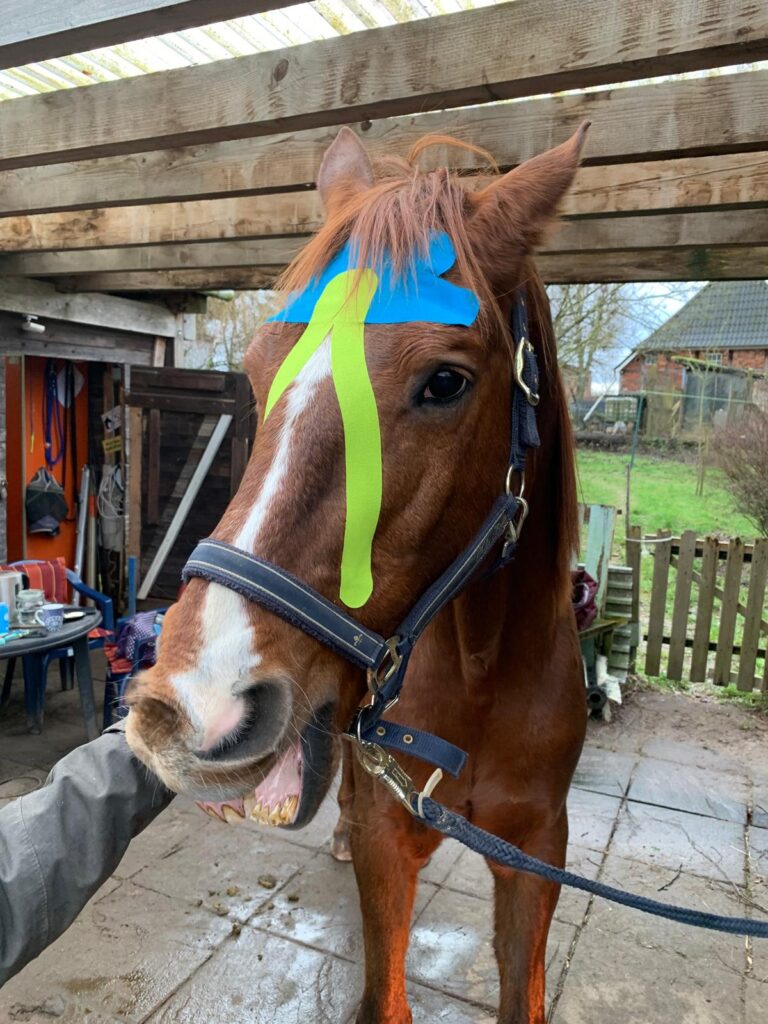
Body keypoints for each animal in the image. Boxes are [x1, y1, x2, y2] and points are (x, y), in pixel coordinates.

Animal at [125, 122, 589, 1024]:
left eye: (444, 380)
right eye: (259, 367)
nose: (186, 707)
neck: (482, 672)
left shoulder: (537, 851)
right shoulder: (389, 841)